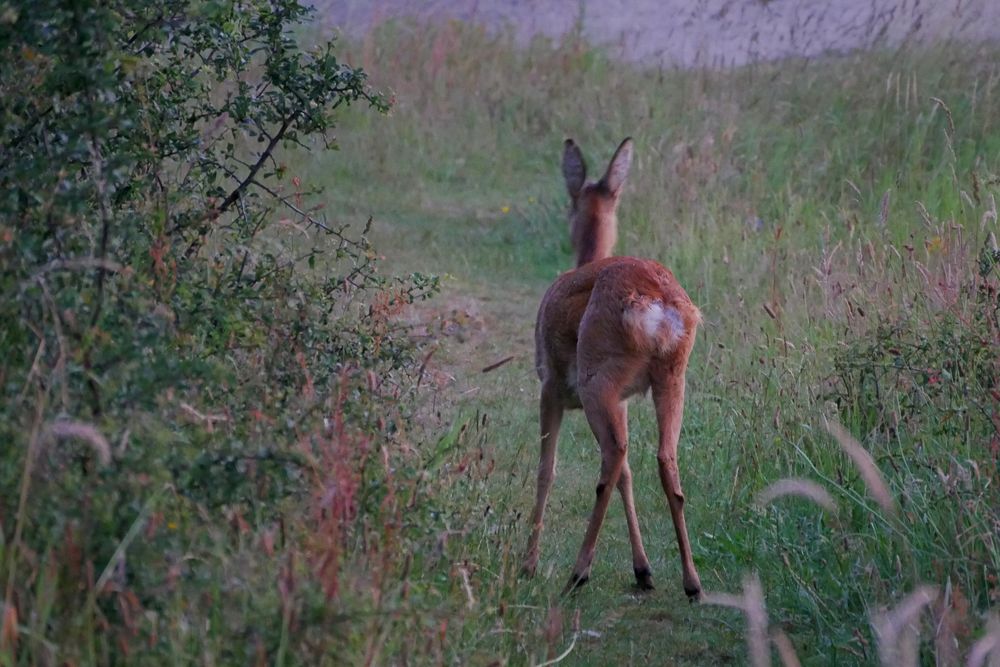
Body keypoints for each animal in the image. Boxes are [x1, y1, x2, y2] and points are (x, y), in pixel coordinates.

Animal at [524, 136, 704, 600]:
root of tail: (656, 305)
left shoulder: (550, 386)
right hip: (672, 376)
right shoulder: (623, 399)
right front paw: (643, 569)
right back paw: (692, 582)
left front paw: (528, 563)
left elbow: (546, 469)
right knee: (663, 459)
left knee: (613, 456)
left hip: (595, 379)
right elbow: (628, 477)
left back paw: (577, 572)